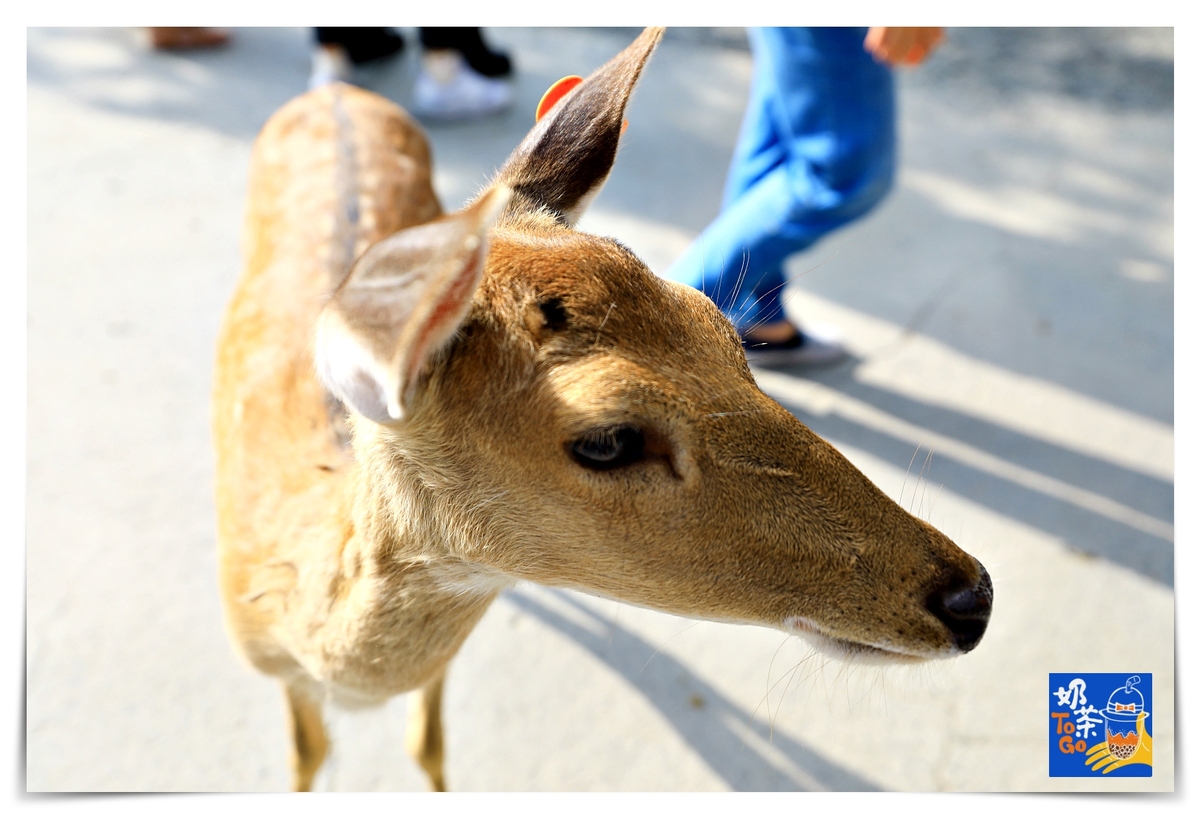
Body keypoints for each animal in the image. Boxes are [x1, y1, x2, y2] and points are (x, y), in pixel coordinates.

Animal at [211, 28, 988, 786]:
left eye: (719, 322)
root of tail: (338, 92)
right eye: (608, 439)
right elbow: (308, 757)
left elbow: (429, 746)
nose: (972, 597)